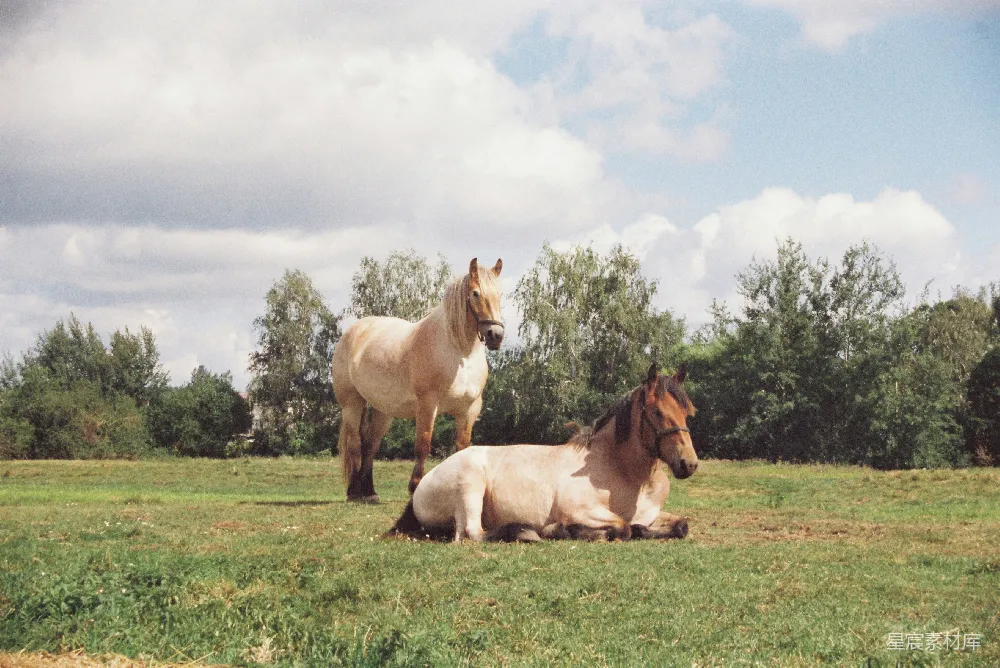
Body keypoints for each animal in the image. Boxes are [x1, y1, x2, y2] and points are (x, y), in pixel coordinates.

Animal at [331, 257, 504, 502]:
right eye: (475, 294)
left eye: (500, 294)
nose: (495, 335)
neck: (459, 353)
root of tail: (353, 332)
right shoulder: (427, 405)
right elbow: (423, 445)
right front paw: (415, 487)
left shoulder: (469, 410)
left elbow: (462, 448)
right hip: (351, 404)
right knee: (355, 442)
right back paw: (354, 493)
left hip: (384, 410)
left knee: (371, 444)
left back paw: (370, 492)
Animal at [389, 363, 698, 542]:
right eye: (657, 413)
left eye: (687, 412)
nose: (689, 464)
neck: (624, 472)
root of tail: (421, 486)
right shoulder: (582, 510)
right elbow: (623, 527)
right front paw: (564, 530)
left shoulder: (652, 513)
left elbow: (680, 525)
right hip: (470, 485)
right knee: (472, 533)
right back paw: (527, 532)